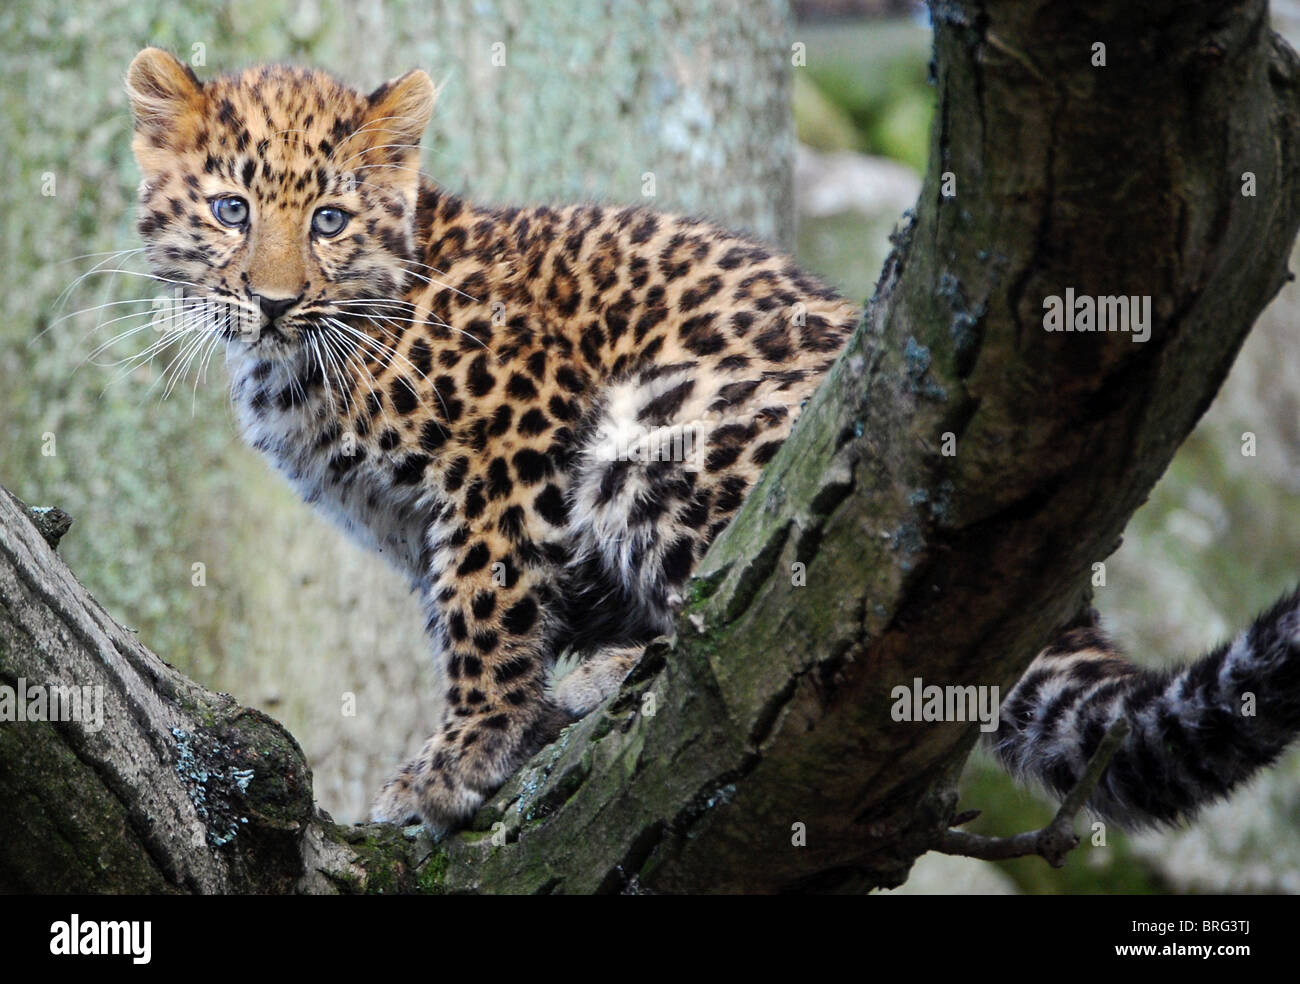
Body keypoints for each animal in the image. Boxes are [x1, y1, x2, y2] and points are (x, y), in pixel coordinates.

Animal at [121, 46, 1300, 836]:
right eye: (231, 210)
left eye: (328, 219)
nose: (274, 300)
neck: (303, 365)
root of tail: (1068, 604)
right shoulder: (418, 525)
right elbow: (479, 611)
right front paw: (507, 735)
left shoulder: (510, 441)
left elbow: (488, 614)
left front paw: (459, 758)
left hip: (662, 423)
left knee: (737, 615)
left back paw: (614, 672)